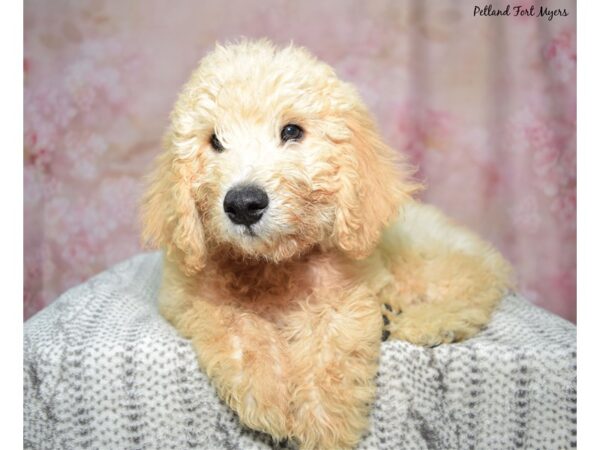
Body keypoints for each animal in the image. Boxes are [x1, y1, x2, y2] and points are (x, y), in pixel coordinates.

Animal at [141, 40, 510, 448]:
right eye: (215, 141)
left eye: (291, 131)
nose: (243, 204)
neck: (273, 263)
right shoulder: (189, 295)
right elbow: (237, 324)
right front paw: (269, 392)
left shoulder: (344, 294)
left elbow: (329, 350)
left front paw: (323, 426)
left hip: (420, 257)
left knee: (472, 286)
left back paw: (425, 322)